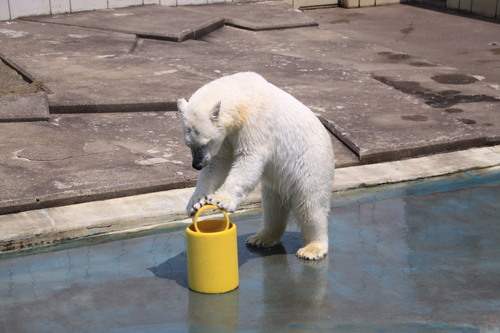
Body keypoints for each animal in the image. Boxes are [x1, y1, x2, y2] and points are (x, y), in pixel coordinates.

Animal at [178, 72, 334, 260]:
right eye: (189, 144)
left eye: (205, 142)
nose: (197, 165)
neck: (243, 95)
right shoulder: (227, 136)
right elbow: (218, 163)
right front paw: (195, 202)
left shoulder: (256, 122)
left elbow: (249, 158)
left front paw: (220, 200)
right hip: (277, 182)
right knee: (272, 207)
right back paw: (261, 238)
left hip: (311, 165)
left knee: (310, 205)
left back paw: (312, 249)